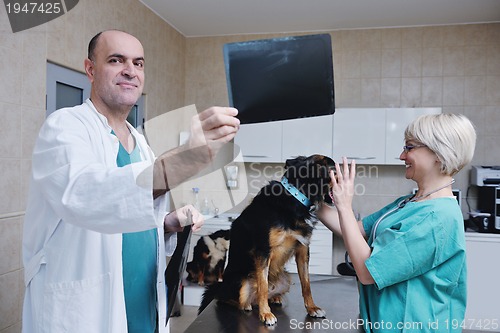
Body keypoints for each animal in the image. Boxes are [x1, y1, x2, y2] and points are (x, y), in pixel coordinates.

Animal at [197, 154, 334, 326]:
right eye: (335, 169)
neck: (296, 197)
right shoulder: (263, 251)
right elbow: (263, 285)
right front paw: (266, 314)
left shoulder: (303, 249)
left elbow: (306, 283)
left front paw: (312, 308)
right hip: (240, 280)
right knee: (225, 298)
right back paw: (247, 304)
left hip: (286, 278)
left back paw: (274, 297)